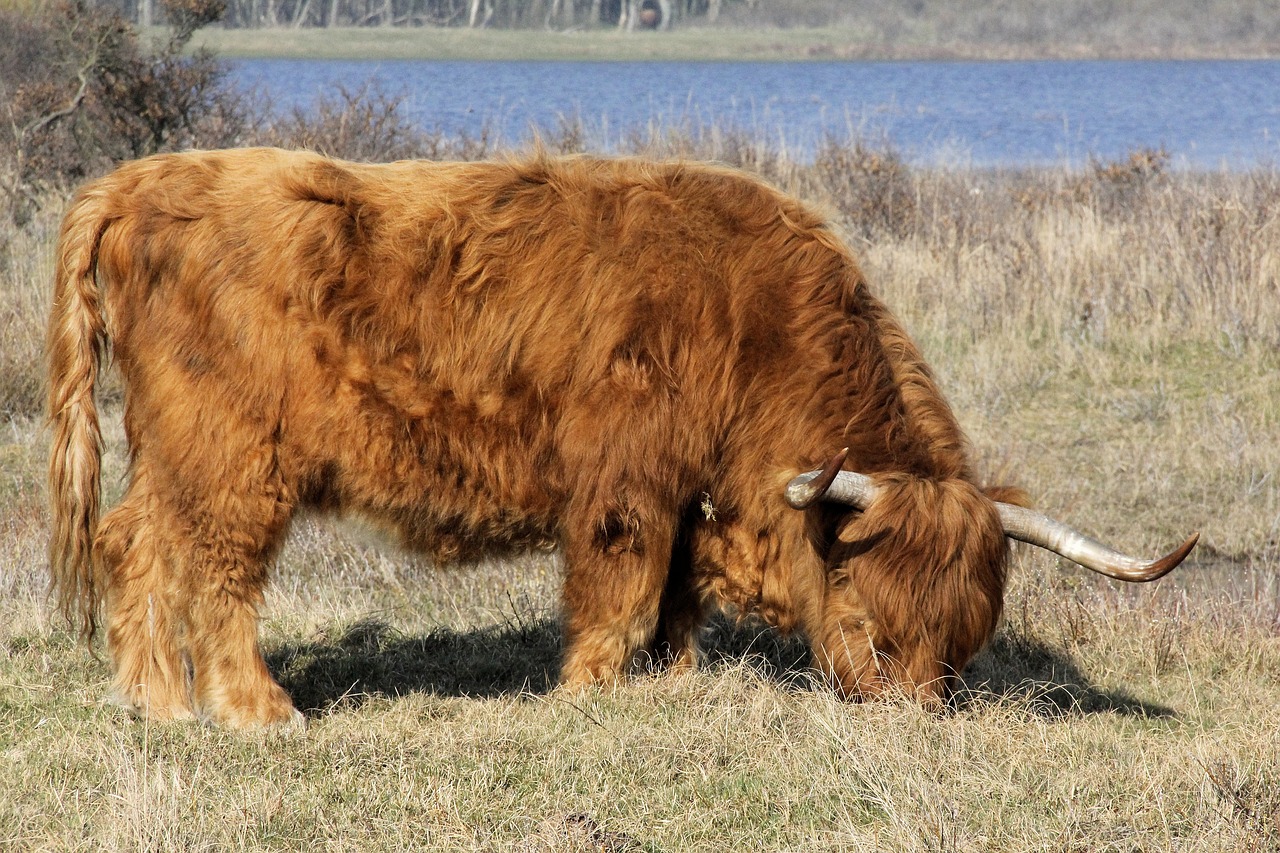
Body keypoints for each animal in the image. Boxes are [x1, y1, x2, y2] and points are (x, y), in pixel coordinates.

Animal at [45, 147, 1192, 722]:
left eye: (964, 645)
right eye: (872, 626)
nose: (914, 717)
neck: (755, 324)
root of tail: (137, 178)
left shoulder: (692, 486)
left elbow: (679, 592)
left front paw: (676, 678)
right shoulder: (623, 476)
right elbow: (624, 585)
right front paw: (589, 690)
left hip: (173, 449)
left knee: (133, 544)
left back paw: (154, 702)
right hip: (235, 452)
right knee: (217, 571)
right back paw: (252, 708)